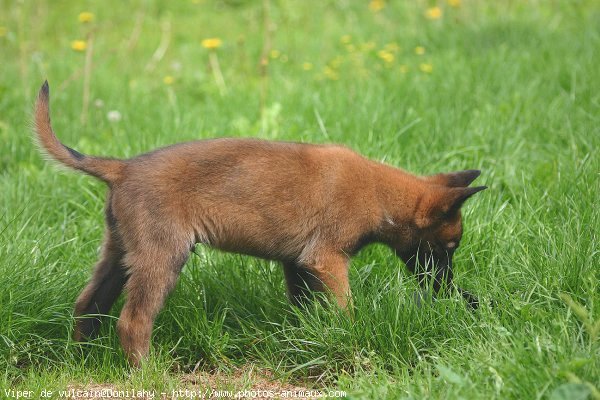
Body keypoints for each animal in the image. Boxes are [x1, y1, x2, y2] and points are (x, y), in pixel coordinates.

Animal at [34, 80, 488, 366]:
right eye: (448, 248)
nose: (457, 295)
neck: (378, 192)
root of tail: (123, 167)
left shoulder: (298, 265)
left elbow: (306, 309)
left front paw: (310, 340)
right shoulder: (327, 260)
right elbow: (345, 309)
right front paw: (351, 338)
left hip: (119, 253)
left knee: (88, 307)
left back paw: (80, 361)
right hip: (163, 257)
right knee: (132, 322)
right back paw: (147, 374)